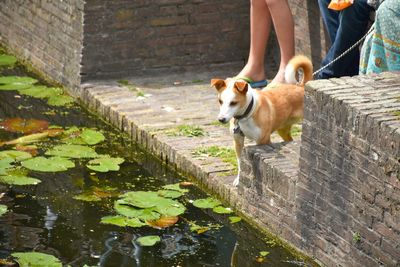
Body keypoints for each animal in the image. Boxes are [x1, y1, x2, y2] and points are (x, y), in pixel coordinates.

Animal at [209, 55, 312, 187]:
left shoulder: (263, 141)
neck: (247, 114)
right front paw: (239, 179)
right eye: (220, 101)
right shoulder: (237, 141)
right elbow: (240, 162)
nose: (221, 119)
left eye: (233, 103)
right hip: (283, 130)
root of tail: (302, 86)